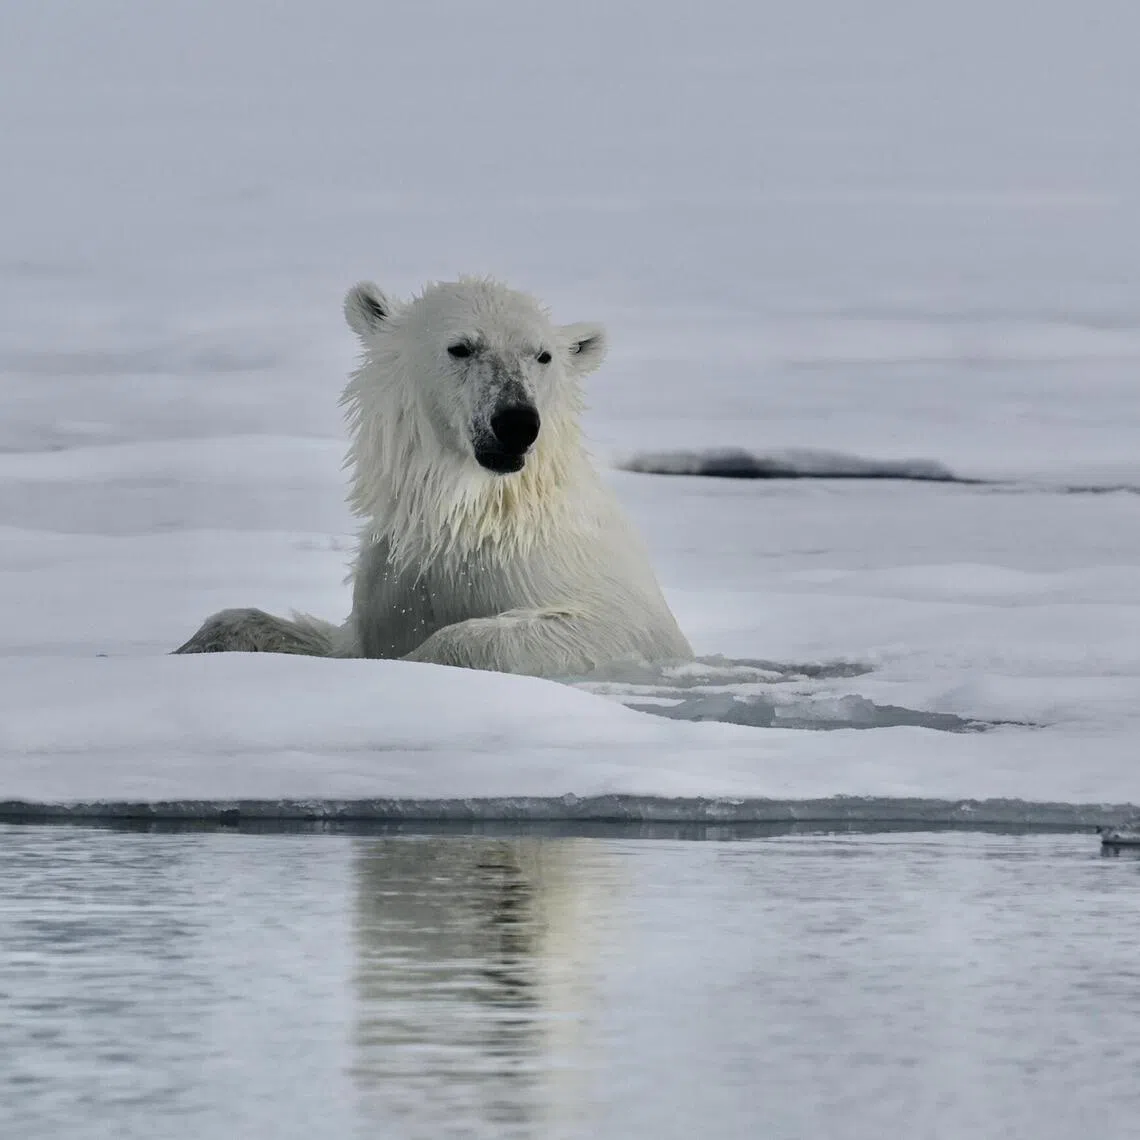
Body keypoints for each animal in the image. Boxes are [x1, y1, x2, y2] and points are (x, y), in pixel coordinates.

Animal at [174, 276, 692, 677]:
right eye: (461, 347)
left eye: (543, 355)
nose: (517, 422)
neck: (471, 514)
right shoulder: (394, 582)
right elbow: (329, 640)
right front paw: (193, 645)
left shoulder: (584, 587)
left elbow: (582, 628)